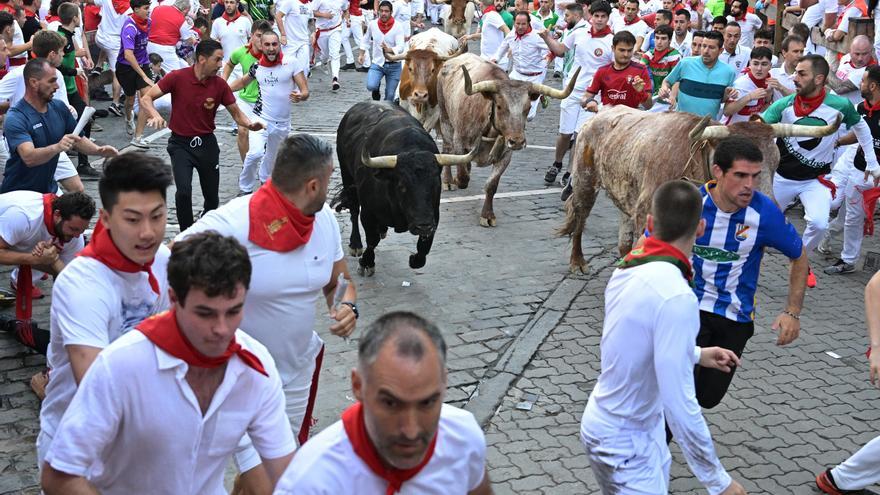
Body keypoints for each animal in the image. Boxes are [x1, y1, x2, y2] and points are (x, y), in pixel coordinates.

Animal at [334, 102, 478, 278]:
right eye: (402, 186)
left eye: (435, 185)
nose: (423, 226)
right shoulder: (368, 213)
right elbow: (372, 240)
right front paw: (366, 263)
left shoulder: (433, 215)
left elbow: (424, 247)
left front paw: (414, 259)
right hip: (346, 175)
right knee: (354, 209)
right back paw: (355, 244)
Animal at [438, 52, 576, 227]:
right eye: (499, 106)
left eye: (528, 108)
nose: (517, 141)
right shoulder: (459, 143)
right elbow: (463, 176)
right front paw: (458, 178)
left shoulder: (505, 156)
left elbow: (492, 185)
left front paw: (488, 215)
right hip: (445, 120)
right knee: (446, 149)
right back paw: (448, 180)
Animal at [556, 106, 840, 274]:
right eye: (739, 172)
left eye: (777, 161)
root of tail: (600, 114)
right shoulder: (646, 215)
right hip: (585, 180)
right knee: (579, 216)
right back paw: (577, 262)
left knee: (624, 239)